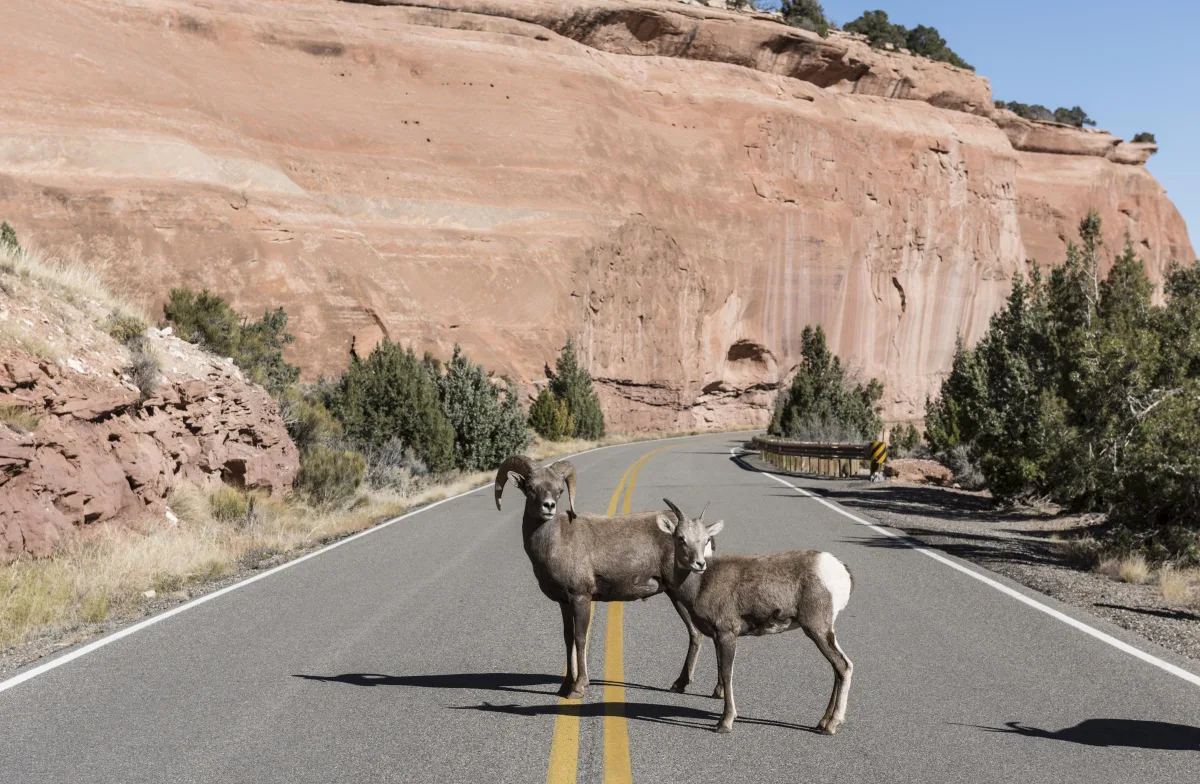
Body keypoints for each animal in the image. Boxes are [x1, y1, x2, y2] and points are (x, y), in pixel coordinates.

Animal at [494, 455, 708, 699]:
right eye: (530, 488)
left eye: (559, 491)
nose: (548, 507)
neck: (556, 542)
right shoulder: (564, 602)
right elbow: (568, 639)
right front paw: (564, 686)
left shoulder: (581, 597)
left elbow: (580, 639)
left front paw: (578, 688)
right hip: (675, 595)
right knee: (696, 634)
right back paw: (680, 684)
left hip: (681, 592)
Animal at [655, 498, 854, 735]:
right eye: (680, 538)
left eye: (706, 540)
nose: (699, 564)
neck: (701, 584)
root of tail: (839, 570)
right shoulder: (718, 637)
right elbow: (721, 672)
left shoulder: (727, 634)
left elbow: (727, 674)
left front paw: (725, 723)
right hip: (824, 631)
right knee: (838, 668)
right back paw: (823, 722)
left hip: (817, 629)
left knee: (843, 666)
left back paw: (831, 725)